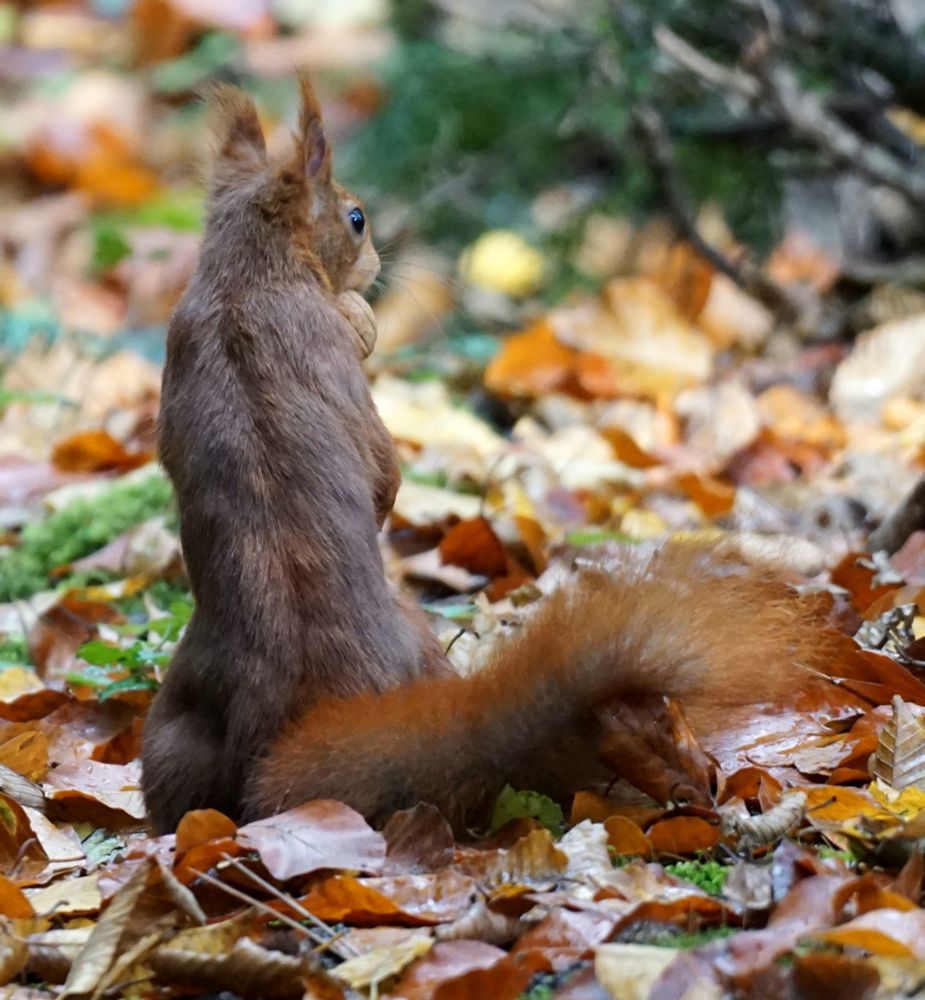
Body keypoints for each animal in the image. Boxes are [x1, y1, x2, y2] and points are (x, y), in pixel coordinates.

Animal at [142, 81, 819, 834]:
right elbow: (381, 469)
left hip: (172, 733)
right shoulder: (331, 354)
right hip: (419, 647)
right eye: (356, 218)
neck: (245, 280)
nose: (377, 267)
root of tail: (289, 722)